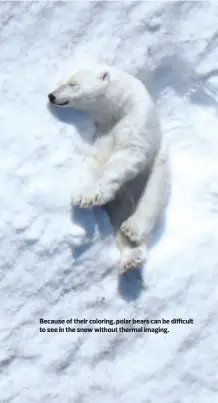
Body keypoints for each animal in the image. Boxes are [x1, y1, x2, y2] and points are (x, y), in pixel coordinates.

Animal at [48, 64, 169, 274]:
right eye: (65, 81)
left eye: (72, 84)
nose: (51, 96)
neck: (118, 108)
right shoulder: (103, 131)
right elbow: (94, 160)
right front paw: (84, 196)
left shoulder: (136, 120)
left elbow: (128, 155)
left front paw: (98, 193)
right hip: (121, 198)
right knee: (120, 212)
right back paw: (131, 257)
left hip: (159, 165)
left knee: (152, 196)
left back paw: (132, 230)